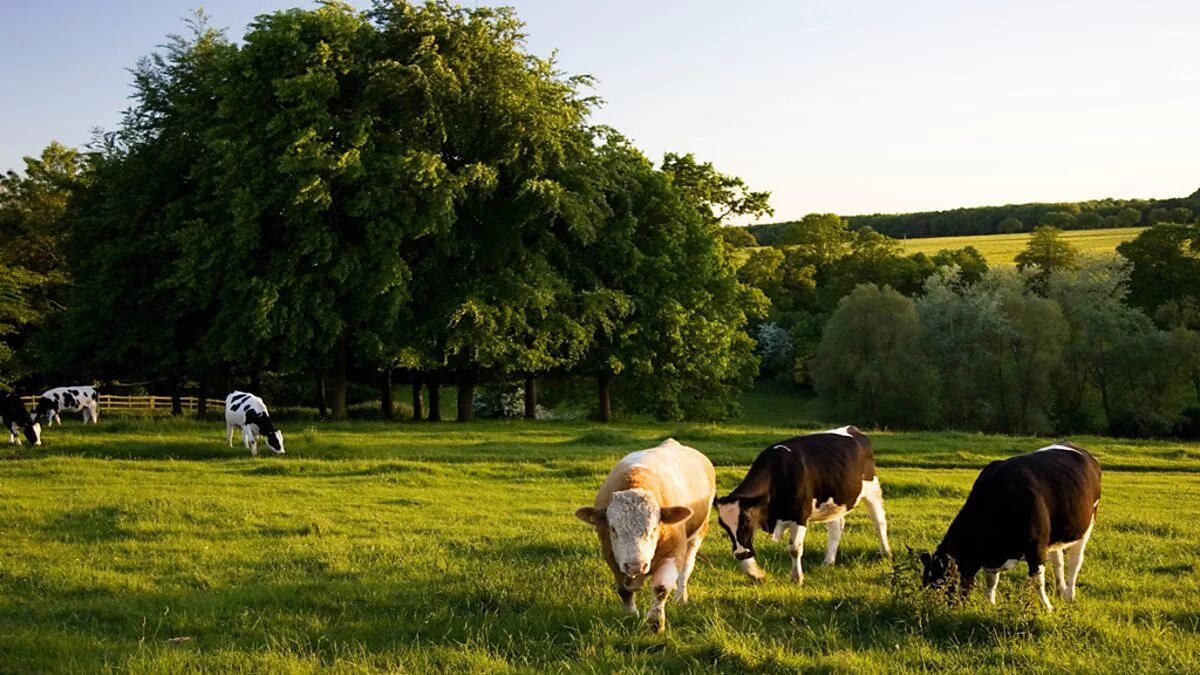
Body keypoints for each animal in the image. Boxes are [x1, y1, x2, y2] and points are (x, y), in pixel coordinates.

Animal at [576, 437, 715, 629]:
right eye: (613, 528)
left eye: (654, 528)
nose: (636, 565)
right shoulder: (612, 555)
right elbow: (624, 591)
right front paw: (630, 616)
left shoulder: (673, 552)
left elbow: (661, 588)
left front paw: (655, 623)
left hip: (698, 533)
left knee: (686, 569)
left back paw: (681, 597)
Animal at [710, 425, 892, 583]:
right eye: (723, 526)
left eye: (746, 520)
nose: (740, 554)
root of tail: (853, 429)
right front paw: (755, 573)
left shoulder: (800, 515)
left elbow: (794, 549)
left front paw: (797, 578)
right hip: (833, 500)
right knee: (836, 527)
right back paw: (828, 562)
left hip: (872, 489)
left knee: (879, 522)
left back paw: (886, 553)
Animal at [916, 441, 1104, 610]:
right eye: (927, 584)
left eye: (943, 583)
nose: (933, 608)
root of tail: (1079, 449)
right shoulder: (991, 558)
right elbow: (991, 581)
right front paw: (990, 604)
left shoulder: (1036, 548)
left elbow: (1037, 581)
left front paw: (1048, 608)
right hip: (1055, 535)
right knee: (1058, 561)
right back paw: (1060, 591)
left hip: (1086, 526)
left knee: (1075, 561)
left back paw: (1069, 595)